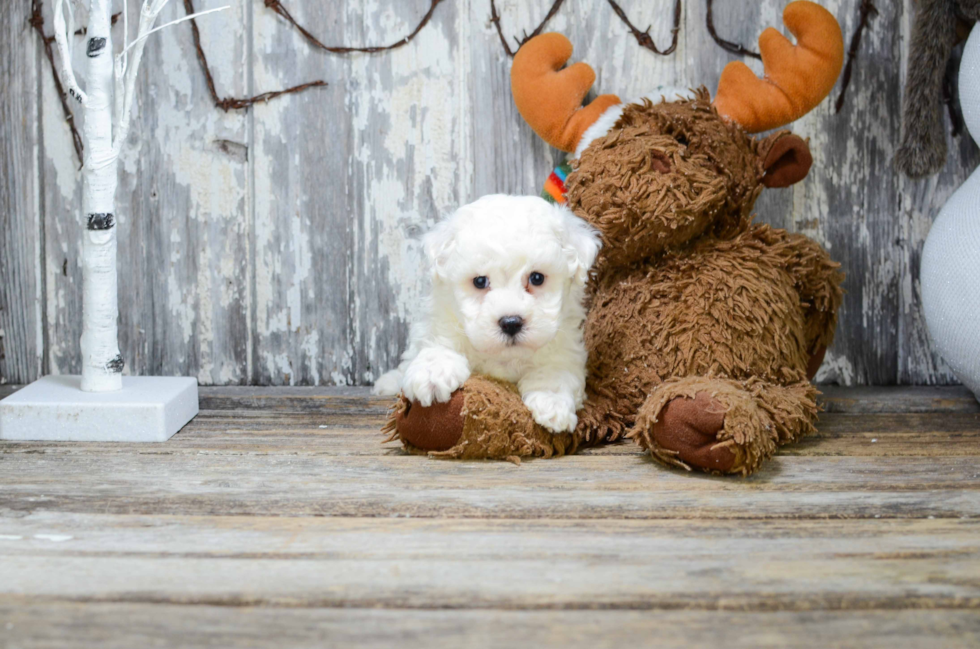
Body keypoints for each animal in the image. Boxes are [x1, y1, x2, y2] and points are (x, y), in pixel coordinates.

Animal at [376, 195, 600, 432]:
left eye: (537, 278)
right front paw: (433, 373)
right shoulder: (439, 324)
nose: (511, 323)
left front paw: (552, 401)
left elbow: (557, 372)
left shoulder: (566, 350)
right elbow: (438, 345)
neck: (504, 357)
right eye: (480, 281)